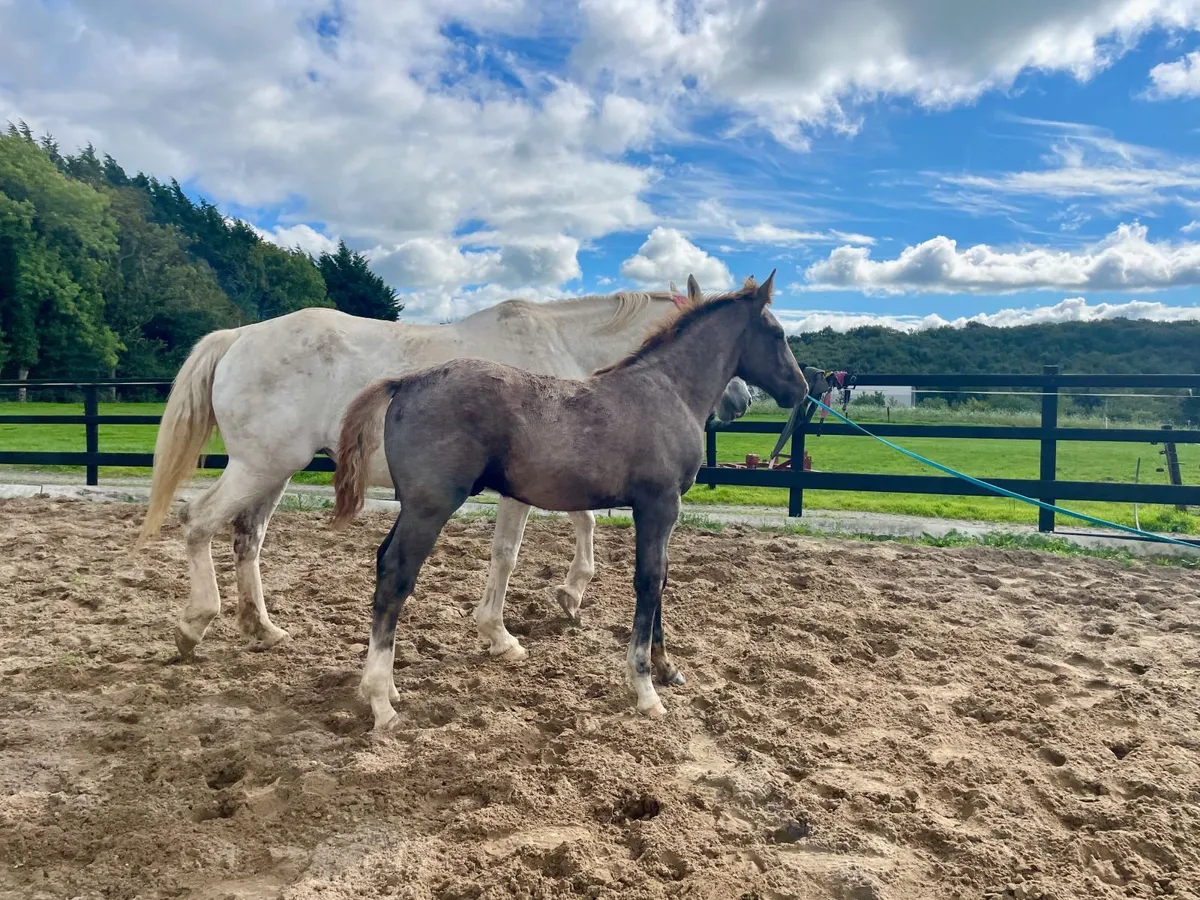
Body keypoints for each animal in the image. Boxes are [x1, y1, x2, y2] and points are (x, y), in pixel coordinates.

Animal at [134, 289, 753, 663]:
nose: (742, 401)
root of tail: (240, 336)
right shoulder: (525, 489)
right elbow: (508, 554)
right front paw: (500, 634)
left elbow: (587, 524)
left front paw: (570, 594)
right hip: (259, 465)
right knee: (197, 521)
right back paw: (195, 624)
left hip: (274, 471)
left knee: (247, 538)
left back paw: (261, 627)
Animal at [331, 271, 809, 731]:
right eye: (778, 334)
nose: (799, 391)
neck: (666, 390)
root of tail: (407, 382)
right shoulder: (658, 506)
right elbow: (648, 581)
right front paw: (645, 687)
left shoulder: (662, 511)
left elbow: (661, 580)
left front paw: (667, 668)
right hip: (430, 507)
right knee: (396, 576)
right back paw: (380, 701)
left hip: (413, 506)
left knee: (383, 564)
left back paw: (387, 688)